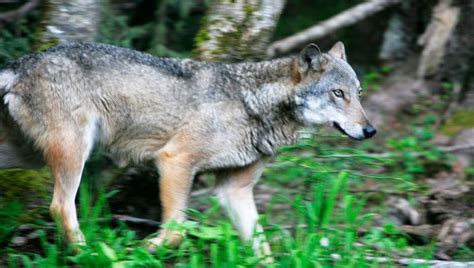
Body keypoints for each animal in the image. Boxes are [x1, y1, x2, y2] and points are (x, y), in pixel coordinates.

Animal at [0, 42, 376, 260]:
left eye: (358, 93)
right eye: (338, 94)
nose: (370, 131)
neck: (251, 105)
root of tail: (22, 62)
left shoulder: (234, 190)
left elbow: (262, 248)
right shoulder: (175, 161)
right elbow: (176, 231)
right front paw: (139, 252)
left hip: (28, 156)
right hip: (74, 154)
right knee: (60, 206)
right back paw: (90, 254)